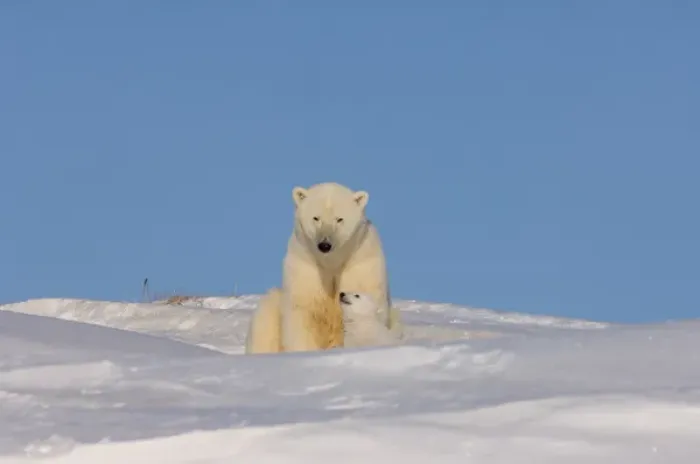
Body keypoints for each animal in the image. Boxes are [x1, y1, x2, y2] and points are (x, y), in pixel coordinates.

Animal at [244, 181, 403, 354]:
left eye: (339, 219)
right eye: (316, 218)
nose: (325, 245)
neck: (330, 264)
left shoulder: (359, 264)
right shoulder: (305, 266)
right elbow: (301, 312)